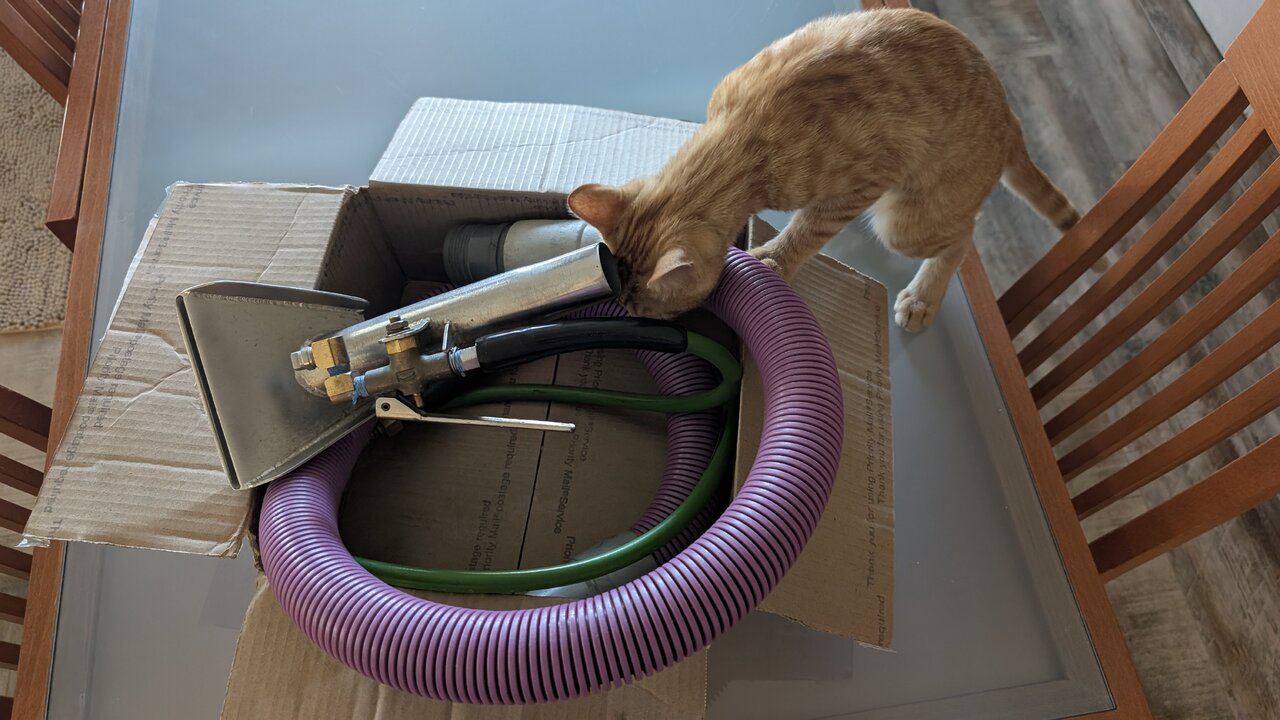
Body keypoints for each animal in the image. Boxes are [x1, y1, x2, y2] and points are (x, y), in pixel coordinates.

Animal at [566, 8, 1082, 331]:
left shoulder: (860, 184)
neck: (740, 129)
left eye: (649, 312)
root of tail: (1012, 118)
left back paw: (922, 297)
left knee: (963, 238)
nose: (634, 318)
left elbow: (808, 229)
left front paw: (773, 260)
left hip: (905, 222)